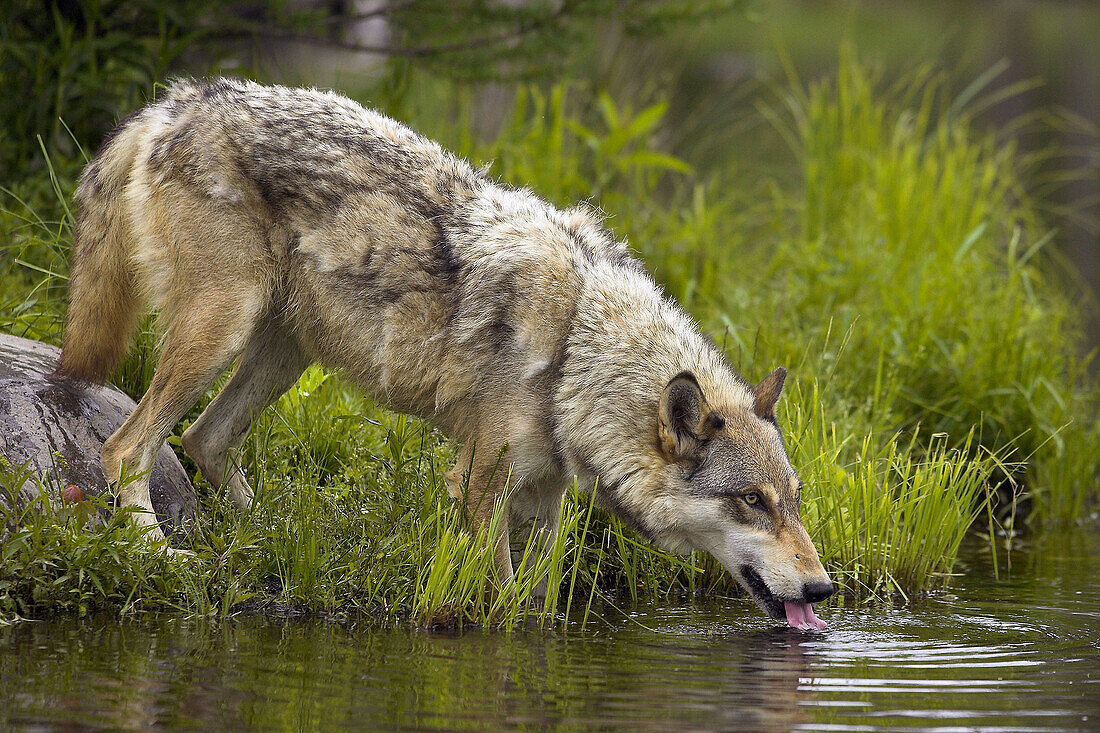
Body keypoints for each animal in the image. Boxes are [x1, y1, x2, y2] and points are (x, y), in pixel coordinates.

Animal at [58, 78, 831, 629]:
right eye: (751, 501)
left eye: (792, 501)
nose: (824, 586)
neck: (577, 347)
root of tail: (184, 98)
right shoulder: (478, 483)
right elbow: (504, 607)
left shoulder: (543, 499)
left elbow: (541, 606)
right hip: (219, 332)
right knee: (126, 449)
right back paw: (161, 554)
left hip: (283, 354)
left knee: (204, 441)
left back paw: (277, 542)